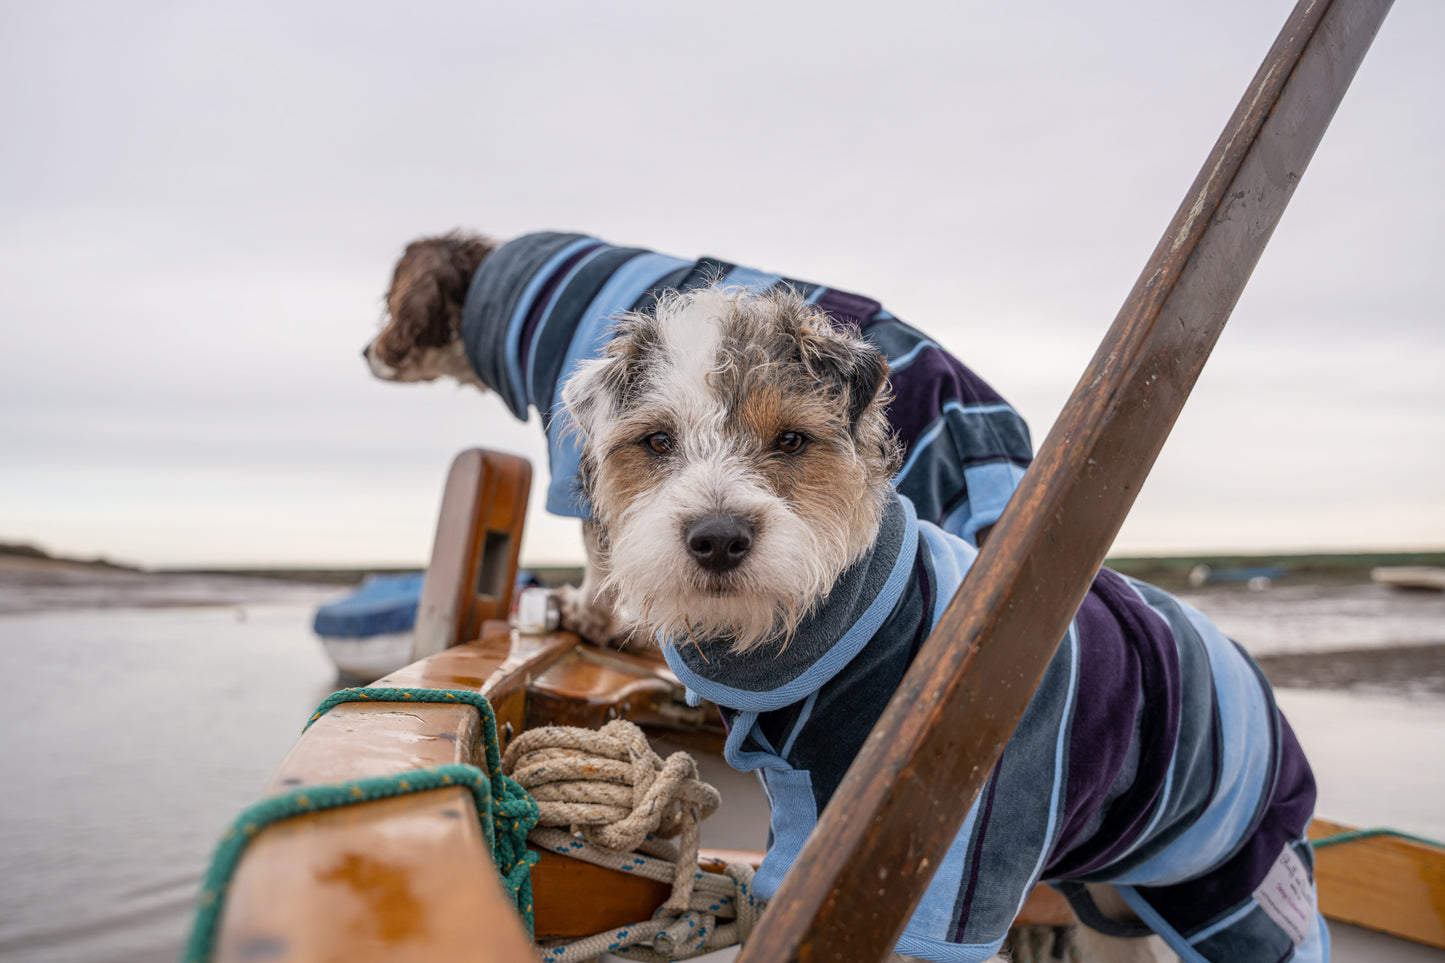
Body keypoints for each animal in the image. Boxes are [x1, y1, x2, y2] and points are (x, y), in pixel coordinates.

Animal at [560, 284, 1323, 960]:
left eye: (791, 439)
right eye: (658, 440)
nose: (718, 538)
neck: (841, 620)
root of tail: (1249, 672)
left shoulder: (950, 857)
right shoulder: (805, 813)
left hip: (1237, 892)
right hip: (1118, 909)